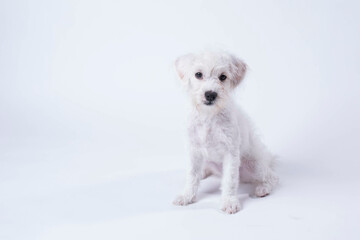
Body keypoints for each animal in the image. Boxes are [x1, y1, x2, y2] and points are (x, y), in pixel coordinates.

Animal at [173, 50, 280, 214]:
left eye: (222, 77)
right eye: (198, 74)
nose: (210, 94)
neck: (208, 116)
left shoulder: (230, 152)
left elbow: (230, 180)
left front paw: (229, 202)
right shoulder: (194, 150)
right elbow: (192, 175)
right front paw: (186, 196)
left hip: (253, 164)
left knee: (272, 177)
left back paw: (263, 189)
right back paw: (203, 172)